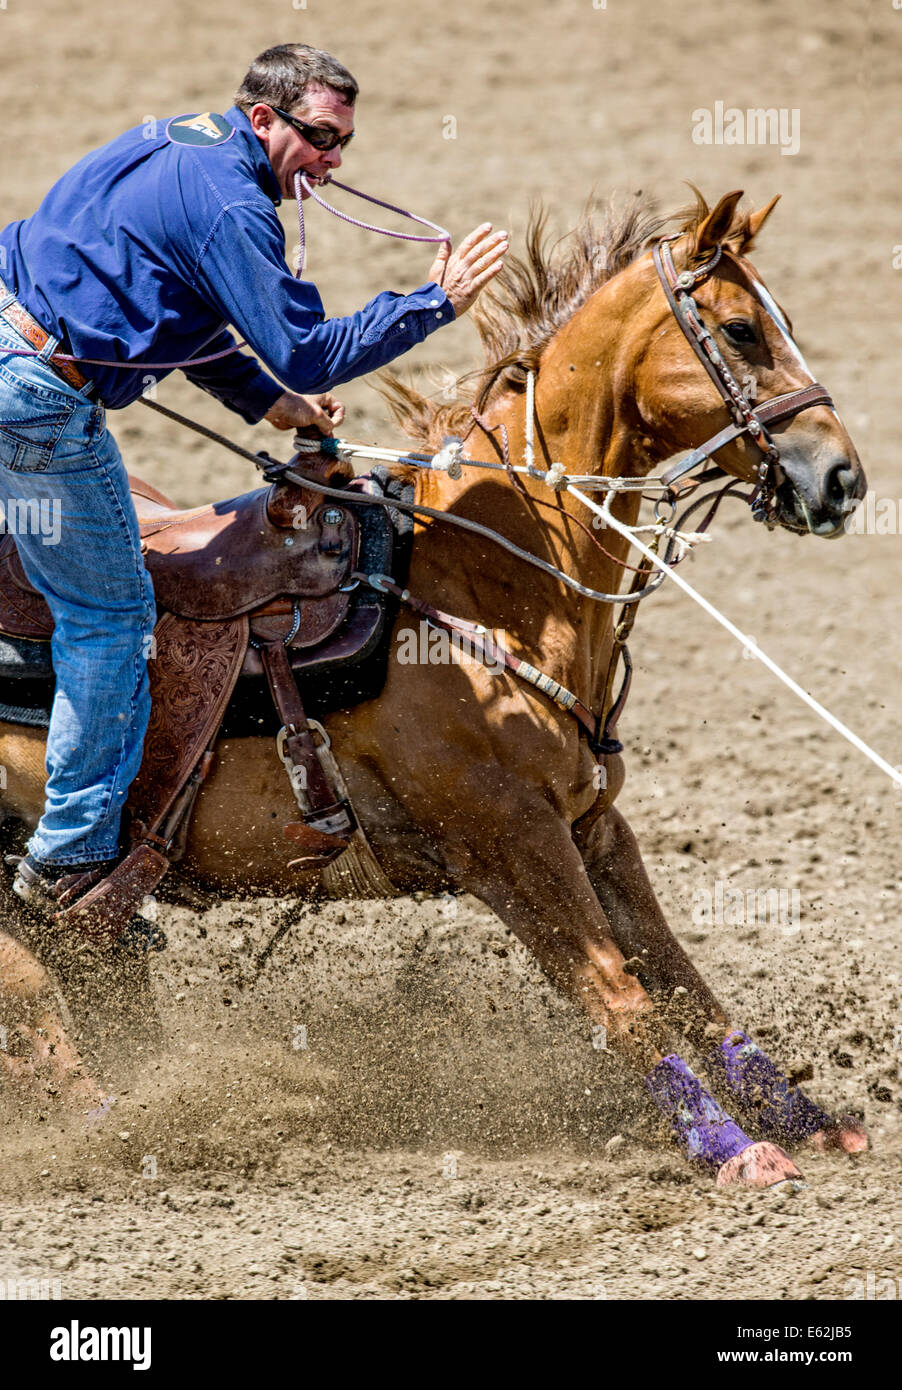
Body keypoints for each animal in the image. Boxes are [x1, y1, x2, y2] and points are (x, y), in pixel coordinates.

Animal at [0, 188, 868, 1186]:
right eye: (739, 328)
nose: (842, 479)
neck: (484, 582)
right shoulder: (509, 842)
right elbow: (619, 996)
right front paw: (731, 1149)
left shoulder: (593, 825)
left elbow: (687, 983)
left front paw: (808, 1120)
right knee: (29, 989)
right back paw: (109, 1124)